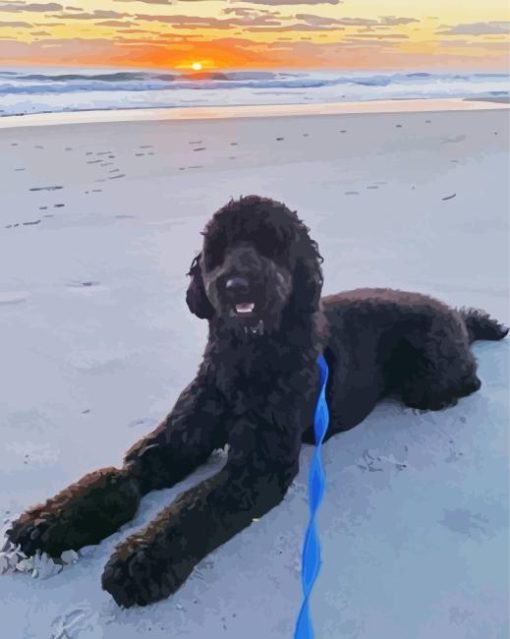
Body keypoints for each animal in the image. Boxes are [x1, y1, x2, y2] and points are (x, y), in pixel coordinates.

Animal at [5, 198, 508, 608]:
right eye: (220, 247)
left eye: (271, 244)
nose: (237, 283)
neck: (245, 364)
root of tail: (455, 316)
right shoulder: (173, 442)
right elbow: (119, 477)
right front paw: (49, 522)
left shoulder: (258, 465)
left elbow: (196, 505)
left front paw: (142, 559)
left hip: (431, 369)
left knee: (467, 380)